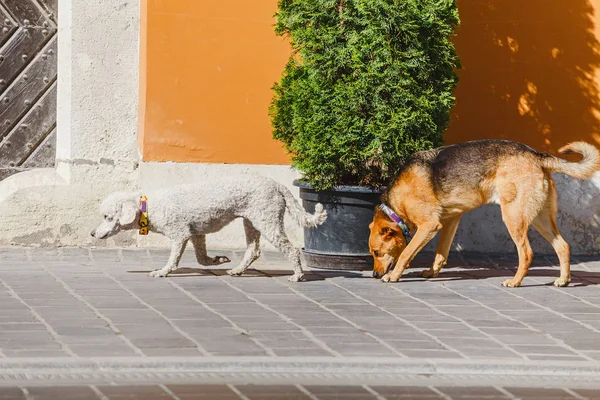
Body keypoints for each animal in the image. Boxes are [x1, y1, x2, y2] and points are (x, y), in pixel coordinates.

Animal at [90, 175, 328, 282]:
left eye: (107, 217)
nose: (92, 233)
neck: (150, 208)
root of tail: (276, 184)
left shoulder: (180, 234)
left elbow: (173, 260)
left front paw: (163, 272)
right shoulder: (196, 234)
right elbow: (201, 259)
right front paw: (218, 260)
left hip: (267, 220)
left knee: (291, 249)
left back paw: (297, 275)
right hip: (252, 221)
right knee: (253, 250)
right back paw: (237, 270)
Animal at [368, 140, 600, 288]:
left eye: (376, 252)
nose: (374, 275)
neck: (395, 207)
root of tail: (536, 155)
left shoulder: (429, 225)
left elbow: (406, 253)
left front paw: (393, 276)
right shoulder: (450, 220)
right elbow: (441, 253)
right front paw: (432, 272)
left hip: (514, 217)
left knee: (526, 253)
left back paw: (515, 282)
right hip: (540, 218)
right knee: (563, 246)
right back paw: (563, 280)